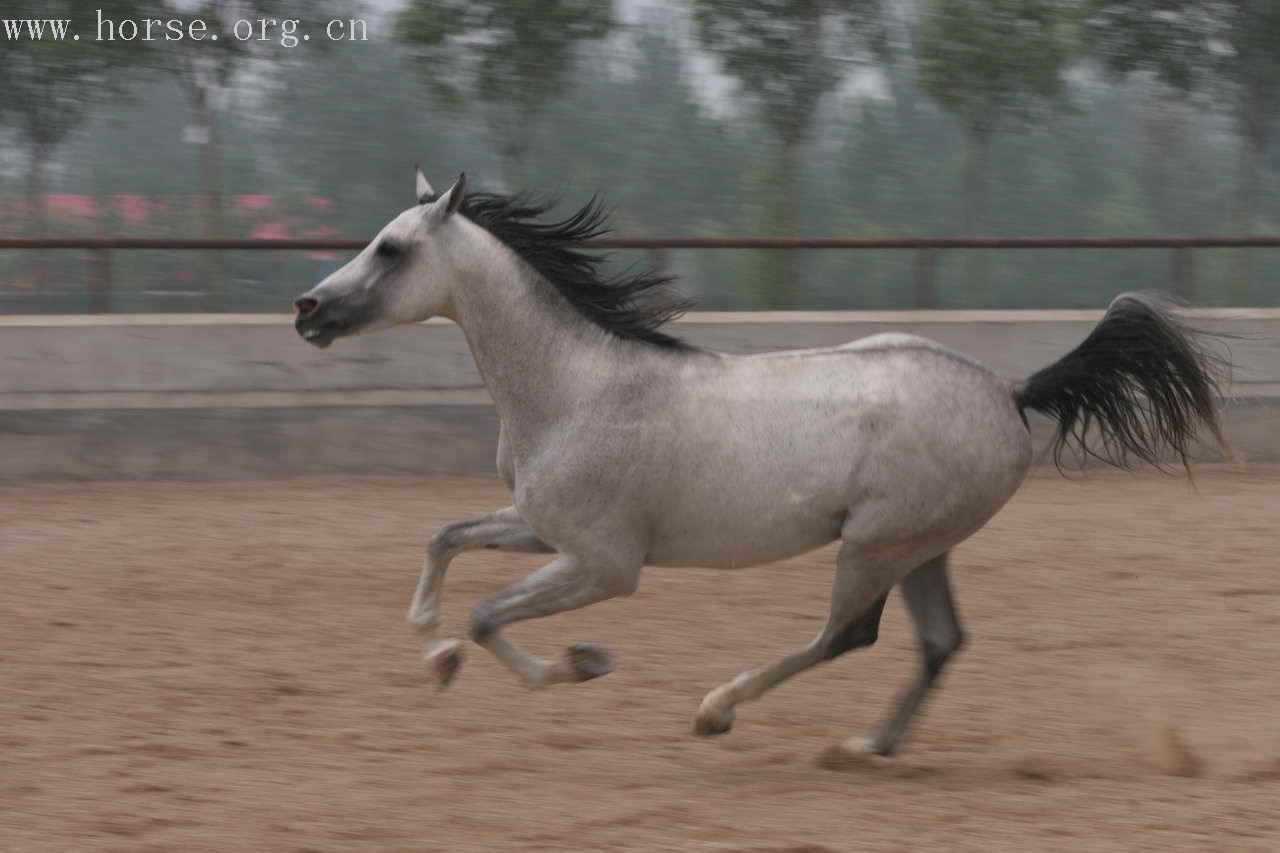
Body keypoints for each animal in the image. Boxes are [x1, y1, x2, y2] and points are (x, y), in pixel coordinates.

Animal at [293, 169, 1228, 753]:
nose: (307, 309)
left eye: (391, 249)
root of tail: (1009, 388)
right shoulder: (540, 527)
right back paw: (867, 744)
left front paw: (581, 662)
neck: (577, 385)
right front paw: (434, 651)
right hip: (923, 548)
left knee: (849, 634)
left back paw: (718, 711)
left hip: (877, 545)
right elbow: (445, 538)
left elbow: (490, 615)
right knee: (939, 641)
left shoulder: (603, 564)